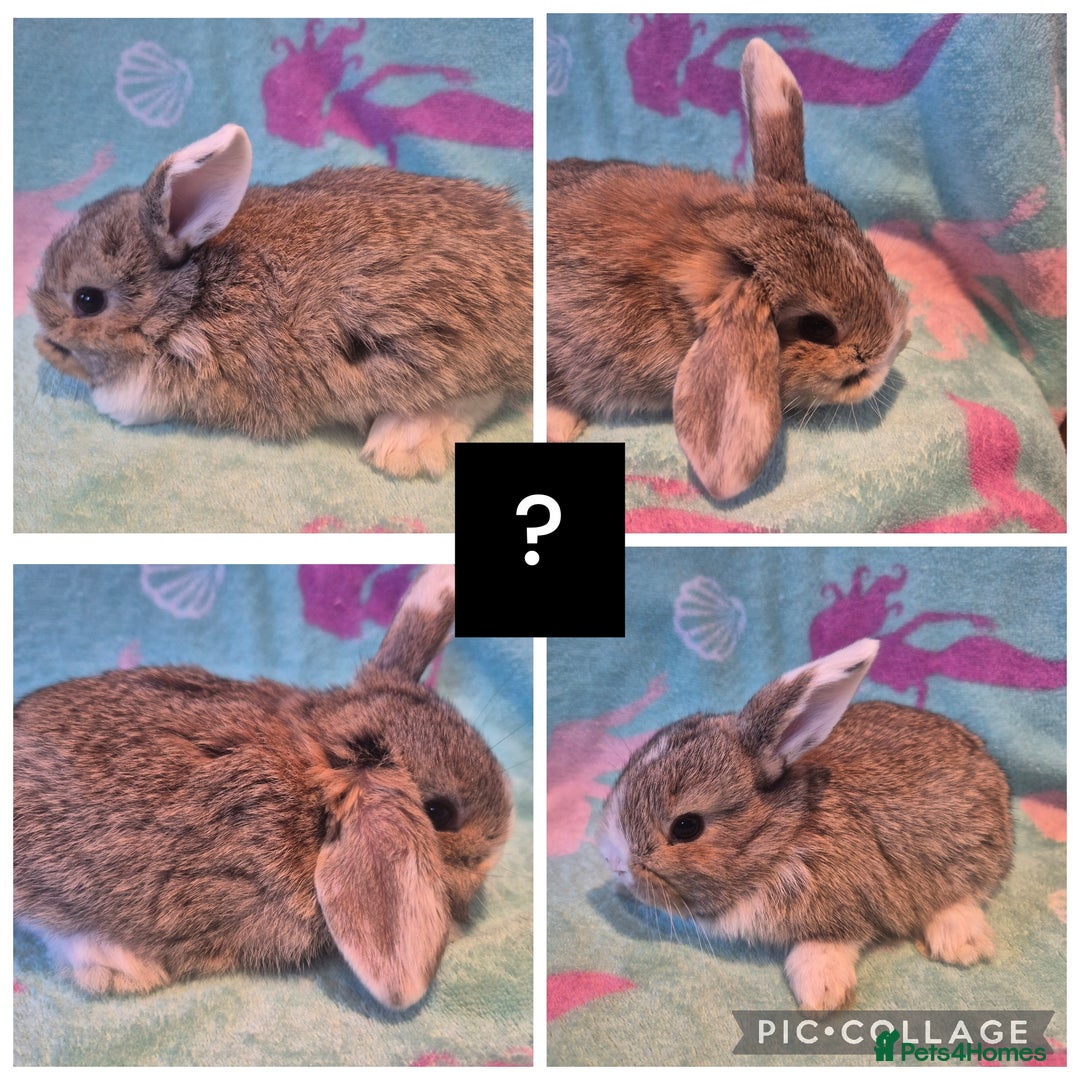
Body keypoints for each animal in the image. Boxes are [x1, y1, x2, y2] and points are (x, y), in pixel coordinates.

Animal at [30, 124, 533, 478]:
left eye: (88, 300)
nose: (43, 344)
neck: (186, 296)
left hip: (417, 346)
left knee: (477, 394)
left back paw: (401, 448)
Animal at [597, 639, 1012, 1012]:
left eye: (687, 826)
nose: (614, 863)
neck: (788, 833)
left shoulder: (845, 905)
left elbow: (824, 945)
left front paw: (821, 995)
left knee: (965, 893)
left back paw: (961, 945)